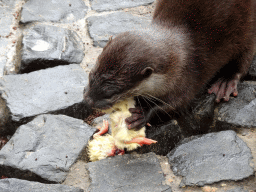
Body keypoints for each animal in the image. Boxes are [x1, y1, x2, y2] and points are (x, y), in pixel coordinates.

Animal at [84, 0, 256, 130]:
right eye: (90, 77)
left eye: (110, 93)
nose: (88, 101)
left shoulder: (185, 77)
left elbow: (177, 104)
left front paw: (143, 113)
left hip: (247, 26)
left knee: (244, 57)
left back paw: (225, 82)